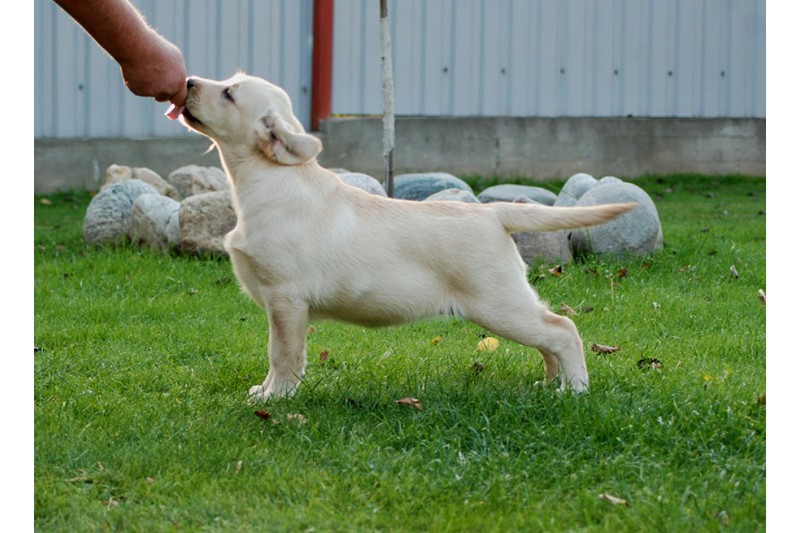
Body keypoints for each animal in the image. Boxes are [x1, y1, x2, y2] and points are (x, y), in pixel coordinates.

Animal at [181, 74, 636, 400]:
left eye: (228, 94)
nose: (186, 81)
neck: (270, 178)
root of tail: (492, 212)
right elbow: (279, 354)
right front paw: (266, 390)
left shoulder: (285, 299)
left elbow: (282, 353)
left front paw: (276, 397)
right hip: (509, 300)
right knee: (549, 336)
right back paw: (550, 384)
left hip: (497, 303)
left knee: (563, 329)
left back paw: (575, 390)